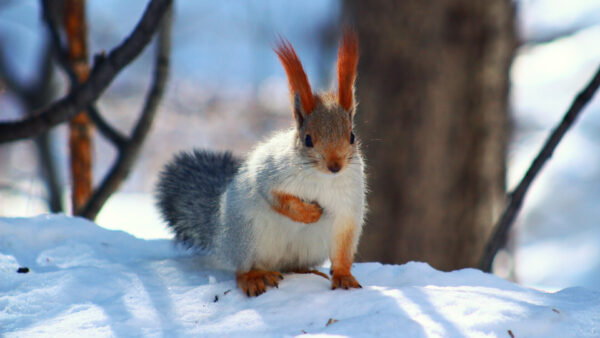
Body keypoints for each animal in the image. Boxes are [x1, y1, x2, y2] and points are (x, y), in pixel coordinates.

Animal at [156, 31, 366, 296]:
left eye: (352, 136)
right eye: (308, 139)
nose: (335, 166)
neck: (322, 178)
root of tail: (221, 236)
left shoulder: (348, 209)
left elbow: (343, 248)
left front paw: (344, 276)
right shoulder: (270, 172)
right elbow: (276, 197)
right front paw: (308, 213)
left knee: (292, 265)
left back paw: (305, 271)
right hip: (248, 236)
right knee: (243, 269)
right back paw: (254, 277)